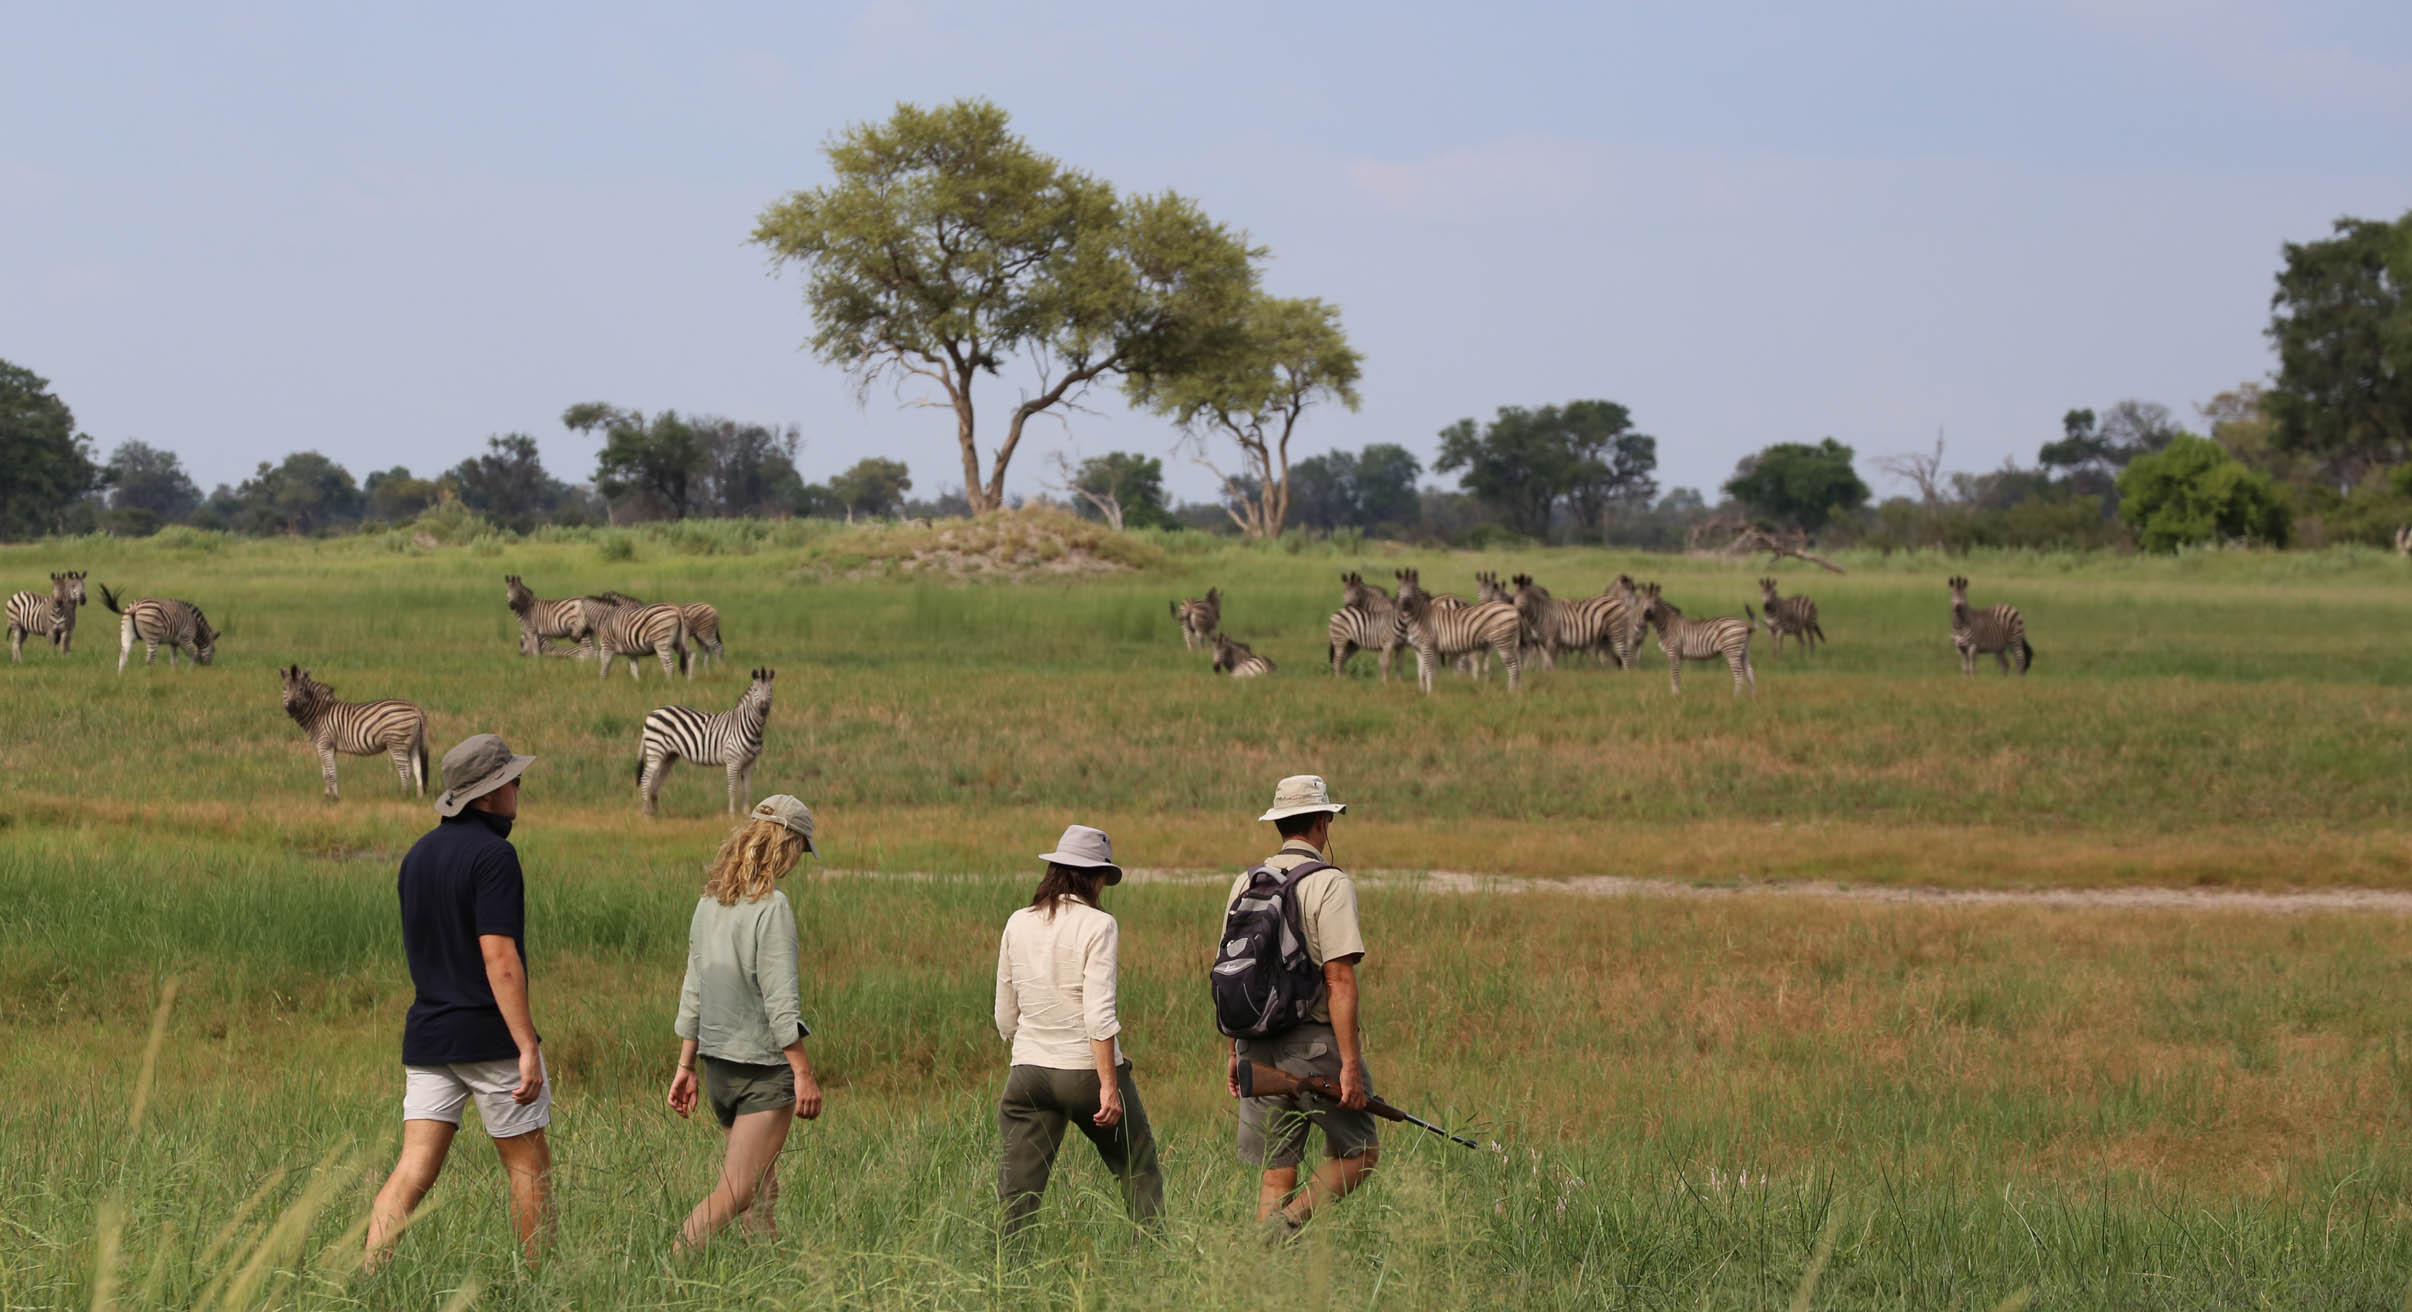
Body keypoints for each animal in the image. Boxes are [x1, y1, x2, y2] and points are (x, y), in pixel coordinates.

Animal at [279, 665, 429, 801]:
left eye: (300, 690)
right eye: (285, 689)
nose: (291, 708)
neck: (319, 713)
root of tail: (414, 707)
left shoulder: (324, 744)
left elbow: (330, 772)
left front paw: (335, 798)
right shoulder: (326, 747)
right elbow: (325, 772)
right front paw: (327, 796)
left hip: (396, 743)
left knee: (406, 770)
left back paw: (403, 796)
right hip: (413, 744)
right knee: (418, 770)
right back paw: (419, 797)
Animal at [638, 667, 774, 816]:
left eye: (770, 690)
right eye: (755, 690)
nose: (764, 707)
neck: (750, 726)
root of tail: (652, 713)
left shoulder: (751, 762)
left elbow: (747, 789)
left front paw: (747, 814)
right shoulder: (733, 760)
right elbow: (732, 788)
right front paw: (732, 814)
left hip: (668, 756)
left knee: (656, 782)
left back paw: (656, 814)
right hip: (656, 751)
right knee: (646, 780)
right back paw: (646, 814)